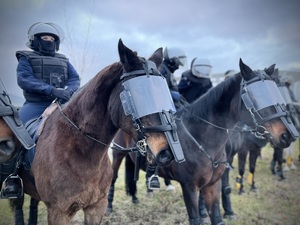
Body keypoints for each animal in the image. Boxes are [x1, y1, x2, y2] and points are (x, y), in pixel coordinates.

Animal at [107, 59, 298, 225]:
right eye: (256, 96)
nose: (286, 135)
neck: (200, 139)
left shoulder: (214, 182)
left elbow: (218, 210)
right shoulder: (189, 187)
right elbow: (196, 217)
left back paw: (136, 197)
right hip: (117, 154)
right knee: (113, 178)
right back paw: (109, 207)